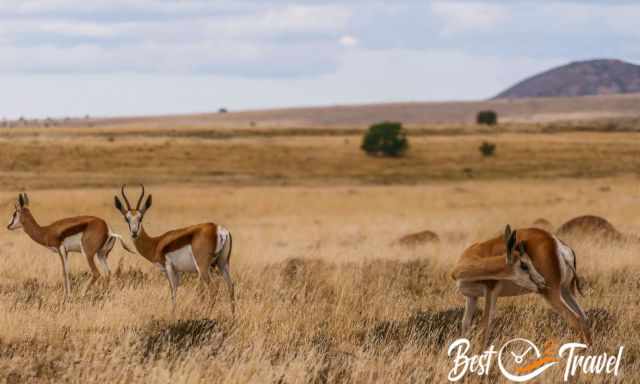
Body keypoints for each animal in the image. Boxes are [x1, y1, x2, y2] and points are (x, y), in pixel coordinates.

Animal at [6, 192, 134, 300]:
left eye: (14, 213)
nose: (8, 226)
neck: (47, 231)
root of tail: (108, 229)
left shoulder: (61, 250)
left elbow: (64, 272)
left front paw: (67, 296)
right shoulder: (67, 252)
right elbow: (68, 271)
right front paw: (68, 295)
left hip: (88, 254)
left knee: (96, 273)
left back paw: (82, 294)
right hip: (101, 255)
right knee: (108, 273)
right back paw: (103, 295)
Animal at [114, 185, 235, 316]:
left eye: (140, 218)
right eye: (126, 219)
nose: (134, 233)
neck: (156, 243)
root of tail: (218, 229)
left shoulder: (169, 268)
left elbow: (173, 292)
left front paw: (172, 315)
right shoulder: (178, 272)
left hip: (203, 267)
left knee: (213, 289)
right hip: (223, 264)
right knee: (231, 287)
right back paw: (233, 316)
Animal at [450, 225, 592, 348]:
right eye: (524, 265)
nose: (541, 281)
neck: (471, 257)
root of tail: (558, 245)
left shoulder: (491, 292)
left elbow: (484, 326)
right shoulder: (471, 297)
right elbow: (465, 325)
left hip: (552, 294)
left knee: (575, 319)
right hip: (566, 291)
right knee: (584, 319)